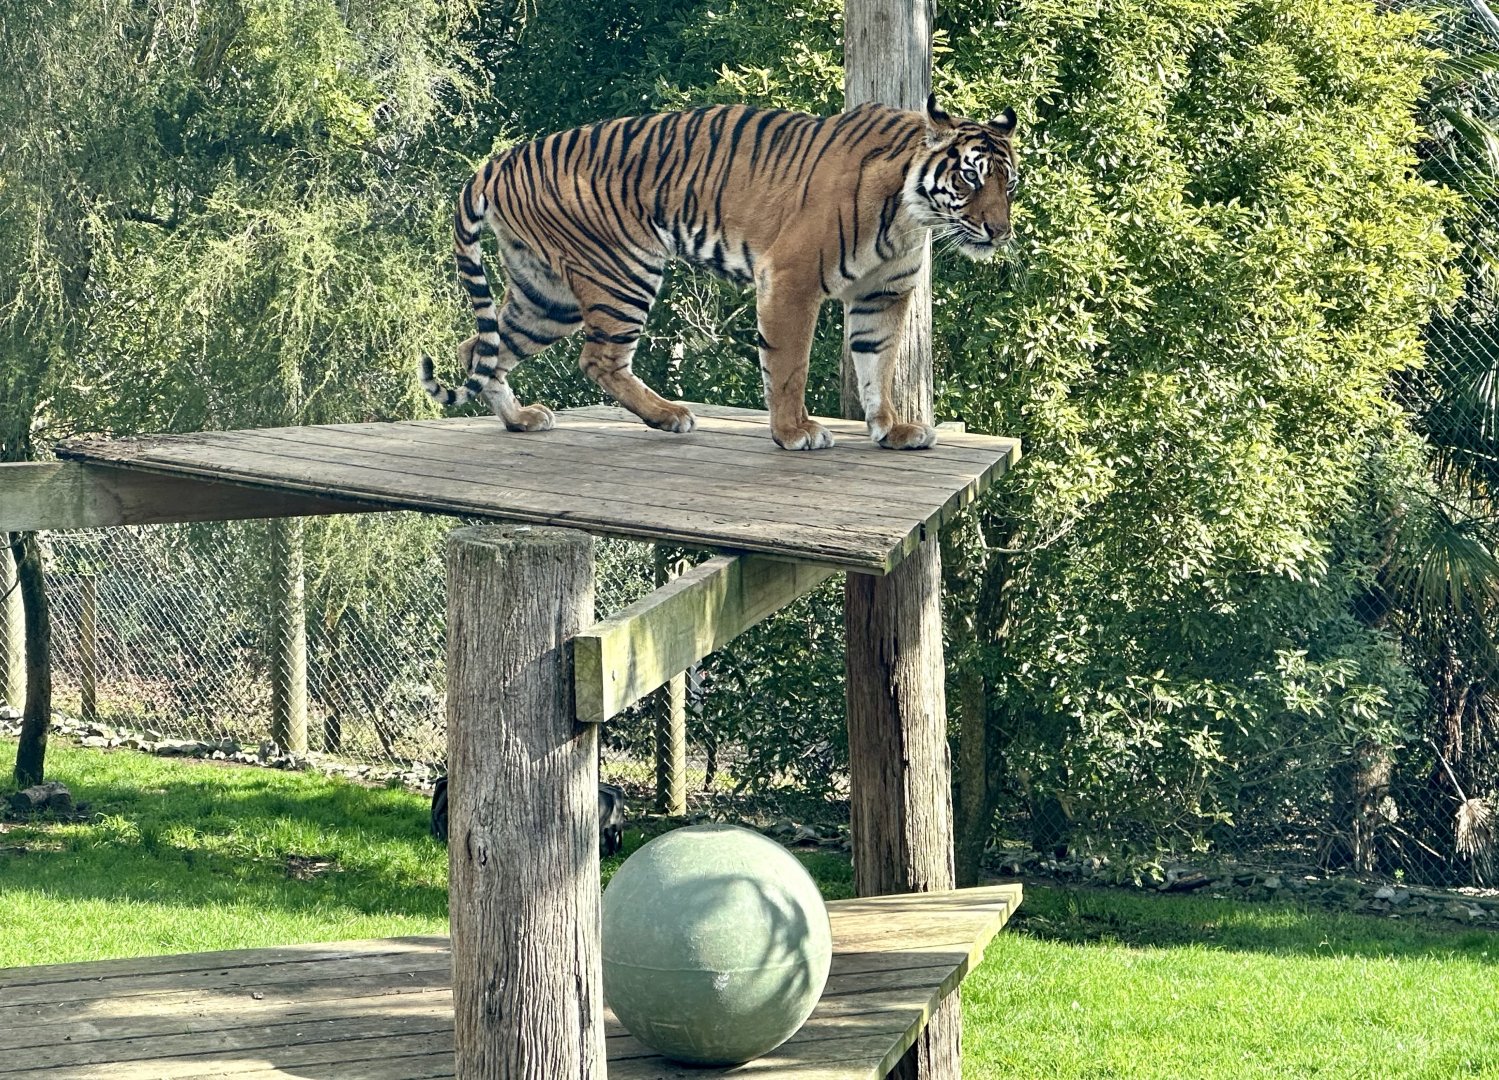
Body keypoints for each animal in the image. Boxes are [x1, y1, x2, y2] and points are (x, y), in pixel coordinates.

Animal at [418, 95, 1018, 451]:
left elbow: (879, 365)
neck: (912, 215)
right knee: (598, 358)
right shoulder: (792, 280)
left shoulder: (882, 296)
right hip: (623, 270)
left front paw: (892, 428)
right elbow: (789, 366)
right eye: (969, 177)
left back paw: (519, 420)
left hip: (547, 294)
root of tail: (499, 161)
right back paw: (669, 416)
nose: (998, 231)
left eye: (1008, 183)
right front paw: (794, 432)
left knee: (479, 348)